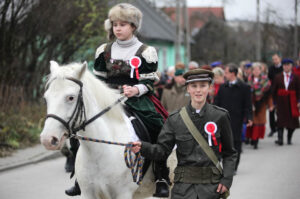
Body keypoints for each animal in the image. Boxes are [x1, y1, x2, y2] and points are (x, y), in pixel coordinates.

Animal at [40, 61, 176, 198]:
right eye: (46, 98)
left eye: (71, 97)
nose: (48, 139)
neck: (98, 152)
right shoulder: (88, 194)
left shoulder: (123, 194)